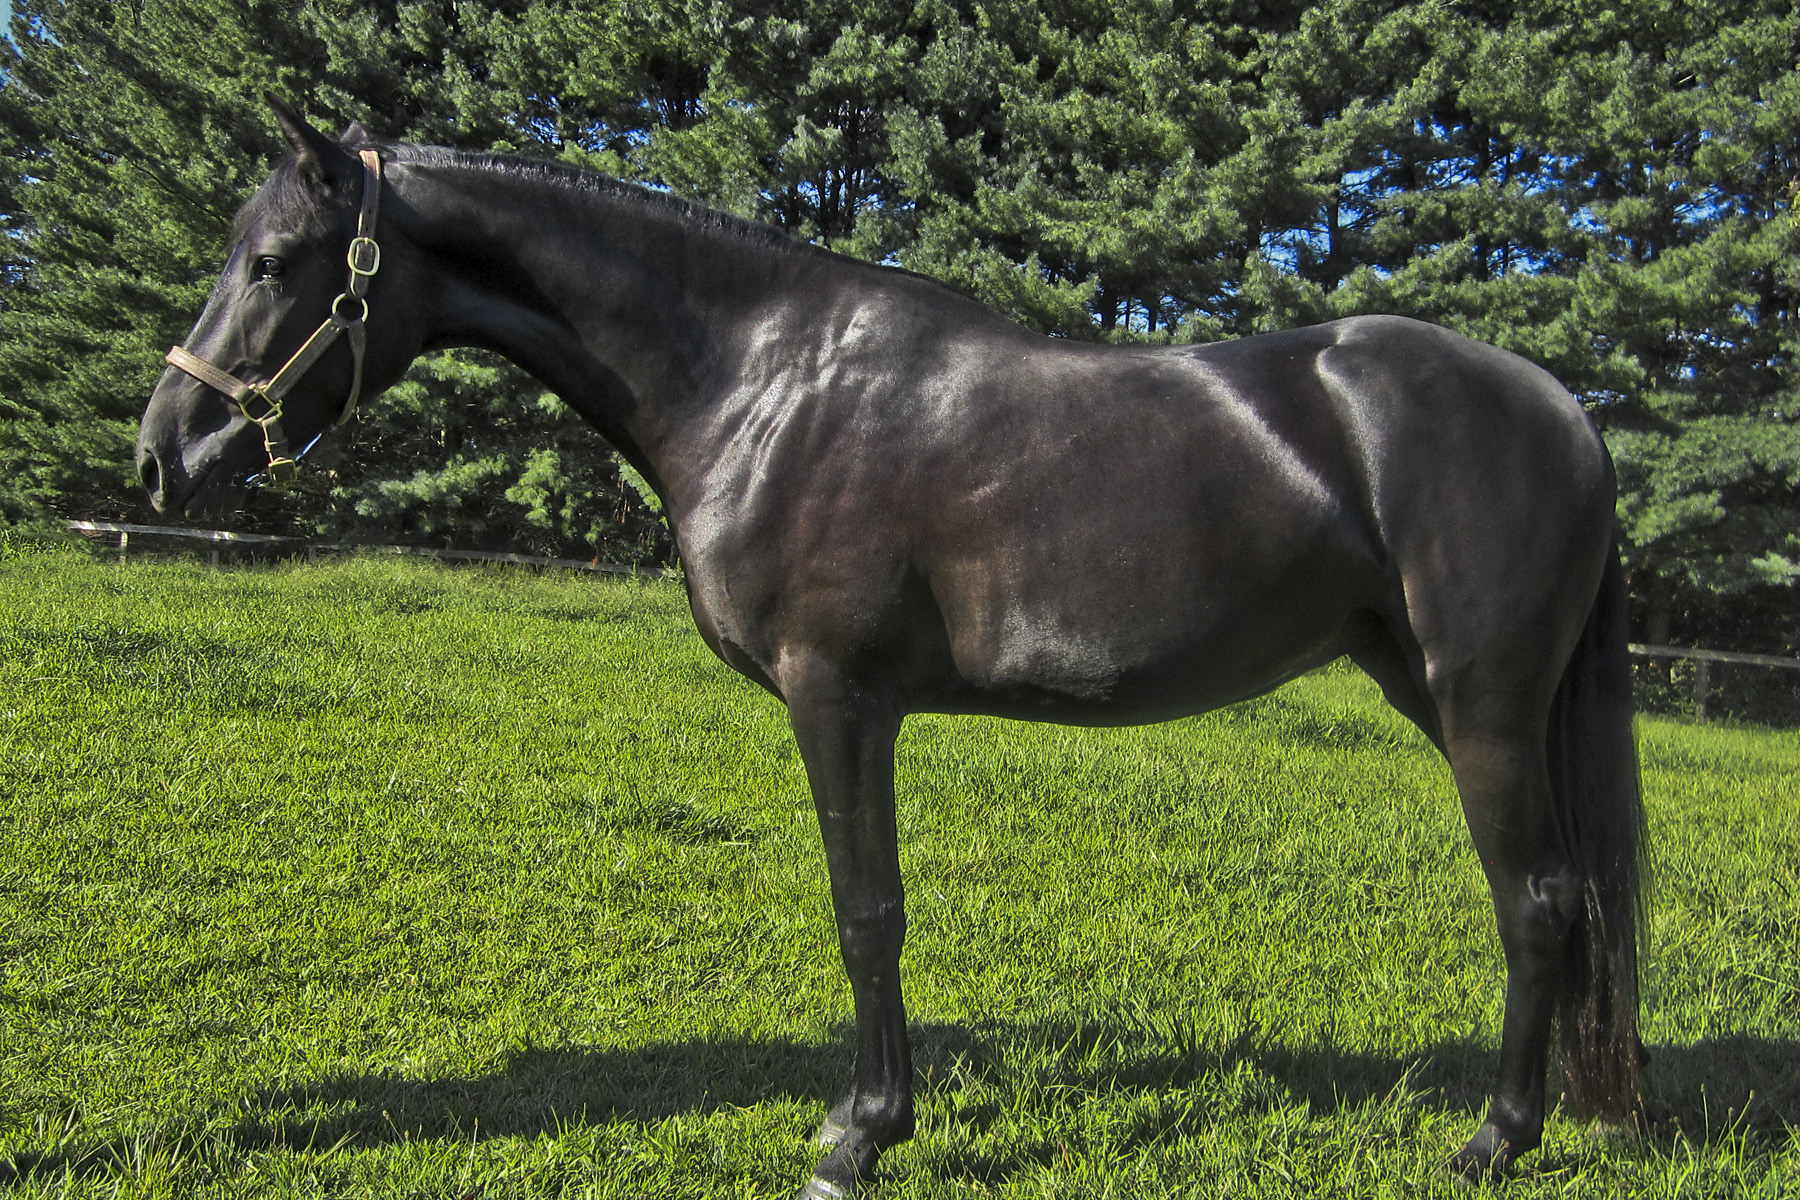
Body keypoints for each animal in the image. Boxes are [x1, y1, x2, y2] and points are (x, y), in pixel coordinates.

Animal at [138, 99, 1646, 1197]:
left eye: (273, 265)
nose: (164, 453)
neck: (760, 380)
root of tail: (1563, 409)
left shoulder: (839, 697)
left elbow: (868, 910)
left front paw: (860, 1134)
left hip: (1483, 706)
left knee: (1537, 900)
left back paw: (1492, 1140)